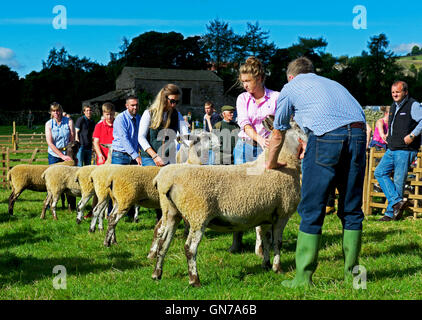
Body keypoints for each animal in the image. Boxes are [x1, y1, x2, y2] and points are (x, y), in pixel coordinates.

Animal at [151, 121, 306, 286]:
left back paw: (157, 274)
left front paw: (266, 264)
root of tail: (166, 182)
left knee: (163, 243)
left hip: (172, 212)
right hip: (198, 214)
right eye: (297, 127)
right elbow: (277, 242)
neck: (284, 161)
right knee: (189, 248)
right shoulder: (283, 213)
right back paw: (194, 280)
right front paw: (278, 268)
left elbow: (266, 241)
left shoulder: (266, 216)